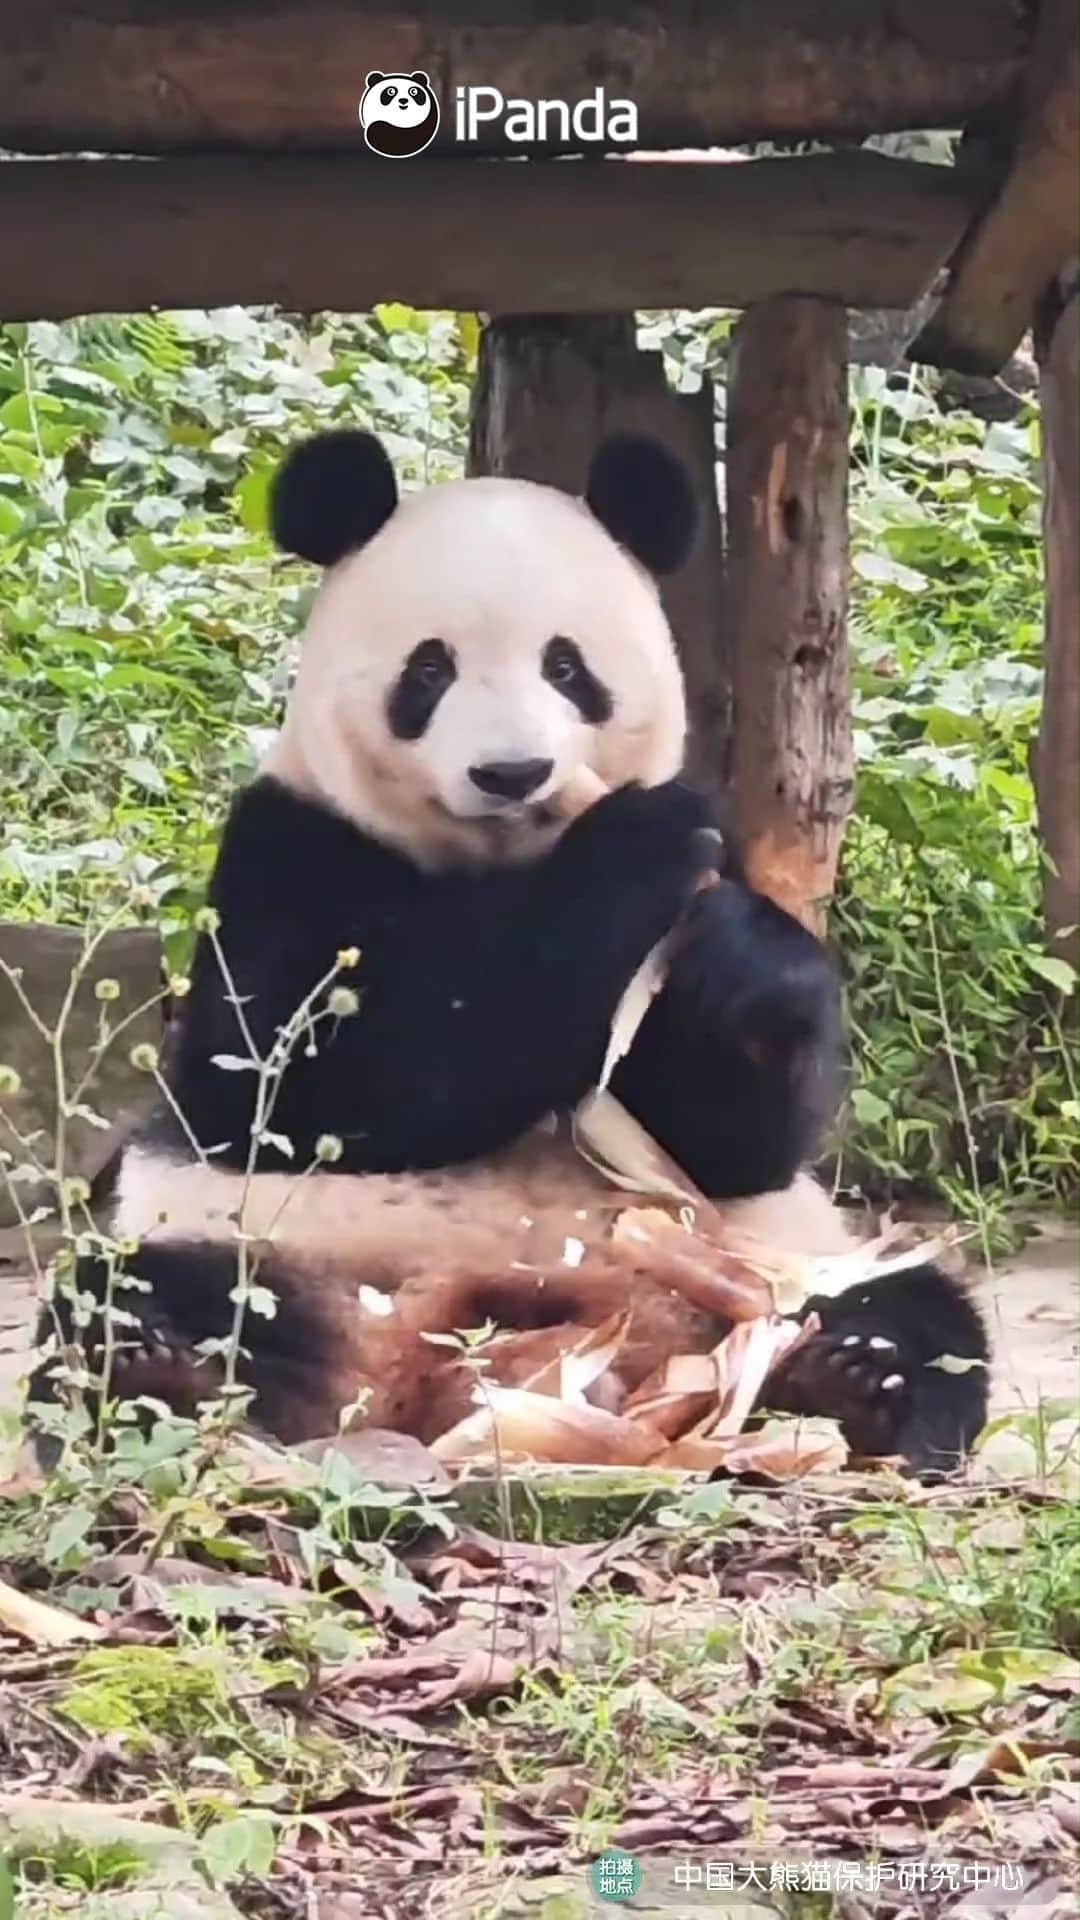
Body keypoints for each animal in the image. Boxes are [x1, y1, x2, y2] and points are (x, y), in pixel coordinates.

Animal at [33, 430, 988, 1473]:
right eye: (428, 672)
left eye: (567, 668)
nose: (512, 773)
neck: (503, 861)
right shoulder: (286, 850)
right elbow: (297, 1080)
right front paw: (624, 856)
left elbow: (729, 1139)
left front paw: (743, 966)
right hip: (265, 1246)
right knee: (141, 1294)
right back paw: (158, 1370)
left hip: (759, 1258)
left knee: (910, 1305)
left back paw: (859, 1381)